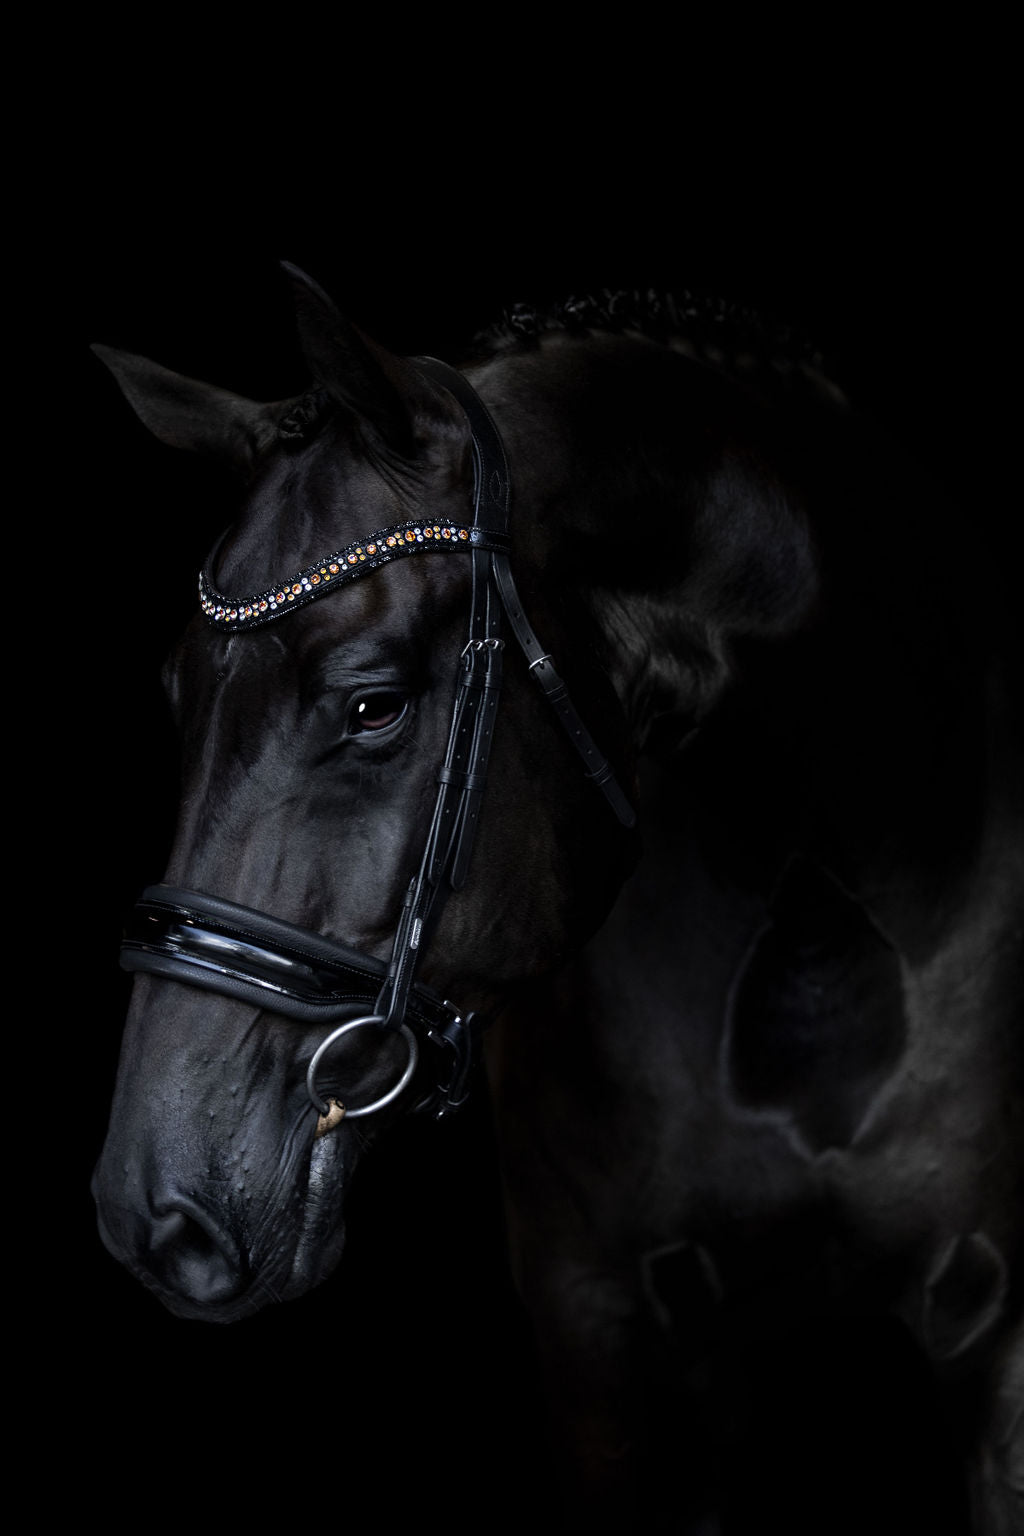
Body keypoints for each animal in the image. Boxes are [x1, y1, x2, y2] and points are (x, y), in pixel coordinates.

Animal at [92, 267, 1022, 1533]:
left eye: (373, 704)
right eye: (176, 692)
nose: (154, 1214)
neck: (818, 920)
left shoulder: (1001, 1337)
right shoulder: (599, 1335)